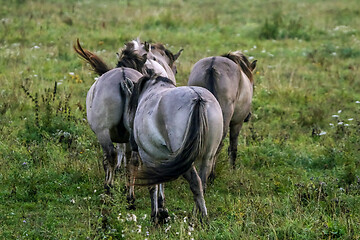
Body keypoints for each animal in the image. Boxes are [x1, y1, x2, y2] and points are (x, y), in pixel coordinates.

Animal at [126, 71, 222, 223]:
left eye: (130, 108)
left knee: (195, 183)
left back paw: (202, 218)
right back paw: (197, 216)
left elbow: (152, 186)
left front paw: (155, 216)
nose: (132, 143)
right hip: (207, 157)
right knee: (202, 183)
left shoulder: (149, 157)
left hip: (186, 160)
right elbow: (160, 180)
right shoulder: (163, 157)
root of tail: (198, 98)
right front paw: (162, 210)